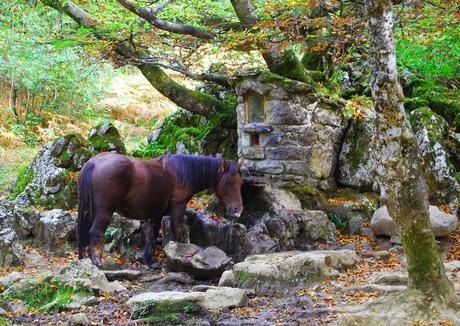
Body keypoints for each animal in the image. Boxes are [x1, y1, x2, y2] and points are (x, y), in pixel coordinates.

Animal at [78, 153, 244, 268]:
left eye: (240, 182)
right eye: (229, 182)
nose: (238, 210)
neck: (181, 172)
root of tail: (94, 162)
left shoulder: (156, 213)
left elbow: (151, 234)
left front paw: (149, 260)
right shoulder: (178, 207)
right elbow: (177, 232)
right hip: (105, 212)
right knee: (95, 232)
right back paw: (97, 262)